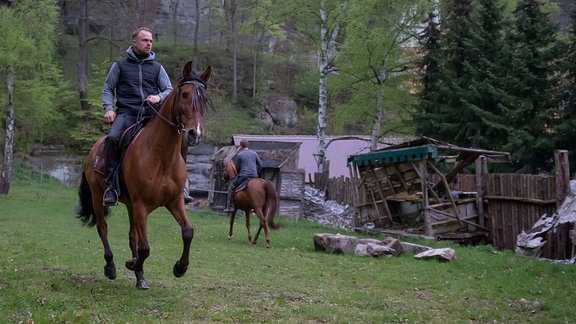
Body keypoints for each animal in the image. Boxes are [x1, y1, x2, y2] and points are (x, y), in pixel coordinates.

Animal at [75, 62, 212, 290]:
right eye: (184, 94)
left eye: (204, 98)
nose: (195, 134)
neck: (161, 156)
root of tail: (94, 150)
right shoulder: (140, 205)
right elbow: (145, 247)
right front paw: (132, 263)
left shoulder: (174, 202)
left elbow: (187, 232)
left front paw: (180, 268)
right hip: (98, 196)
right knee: (103, 228)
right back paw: (111, 267)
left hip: (130, 205)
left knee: (132, 236)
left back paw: (140, 278)